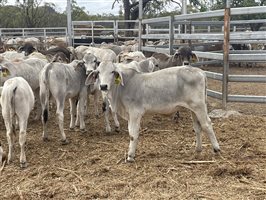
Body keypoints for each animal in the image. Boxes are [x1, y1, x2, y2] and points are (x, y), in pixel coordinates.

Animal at [85, 61, 220, 162]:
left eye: (113, 71)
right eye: (98, 72)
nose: (103, 86)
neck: (123, 87)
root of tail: (200, 71)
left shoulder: (135, 113)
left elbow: (133, 134)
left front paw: (130, 156)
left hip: (199, 106)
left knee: (207, 124)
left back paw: (216, 149)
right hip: (193, 109)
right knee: (197, 127)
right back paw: (198, 149)